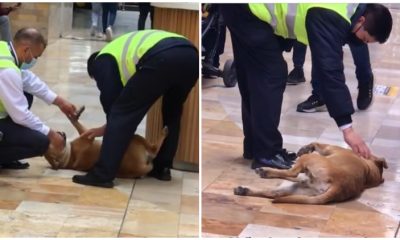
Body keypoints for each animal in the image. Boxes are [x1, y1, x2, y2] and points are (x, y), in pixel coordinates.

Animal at [234, 142, 388, 204]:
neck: (367, 170)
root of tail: (338, 186)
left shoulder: (327, 149)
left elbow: (318, 144)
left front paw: (307, 147)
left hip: (309, 159)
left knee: (291, 173)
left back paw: (264, 172)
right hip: (300, 191)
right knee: (272, 193)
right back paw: (244, 190)